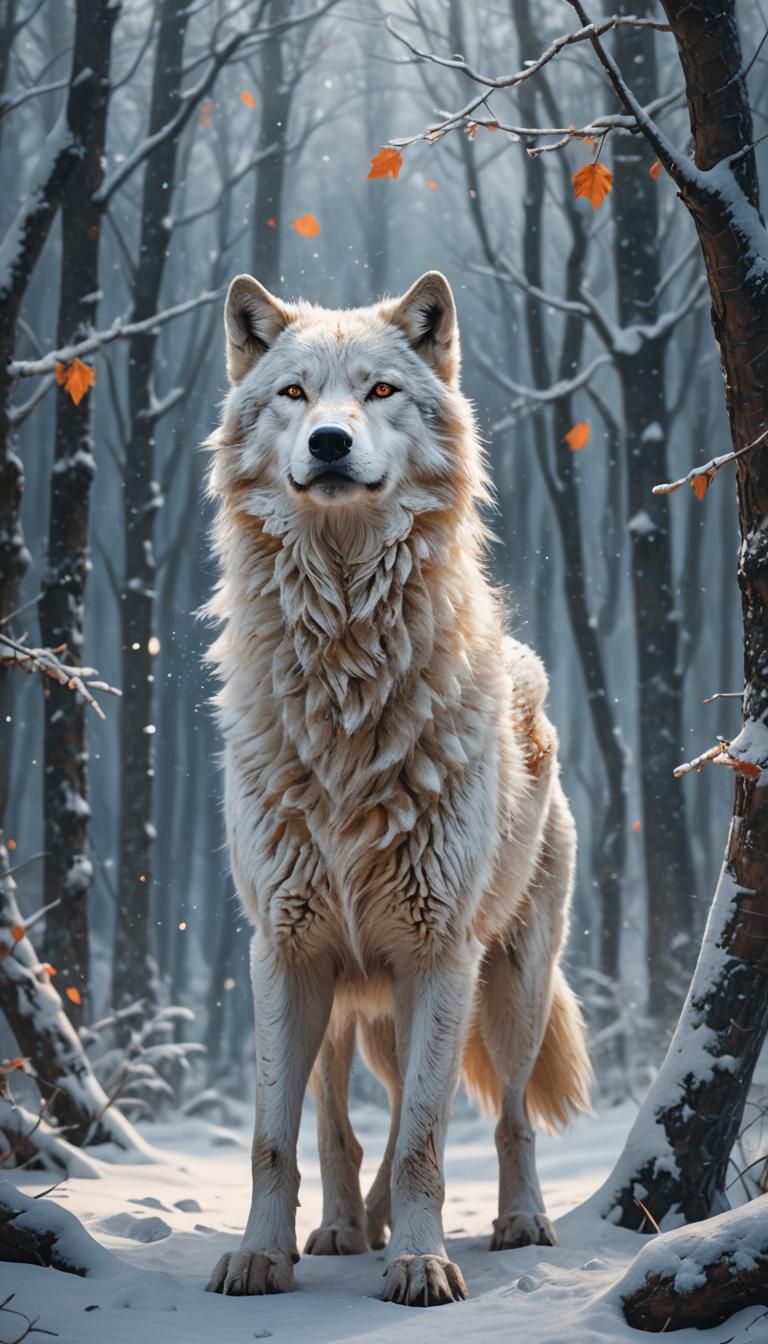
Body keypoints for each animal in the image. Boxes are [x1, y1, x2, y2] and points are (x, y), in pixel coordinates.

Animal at [204, 270, 591, 1307]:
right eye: (295, 395)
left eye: (379, 391)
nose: (330, 442)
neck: (346, 676)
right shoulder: (282, 952)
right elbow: (275, 1141)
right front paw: (260, 1257)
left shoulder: (437, 955)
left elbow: (424, 1138)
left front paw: (421, 1262)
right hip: (349, 1004)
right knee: (339, 1126)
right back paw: (344, 1228)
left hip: (507, 986)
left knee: (502, 1115)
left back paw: (518, 1222)